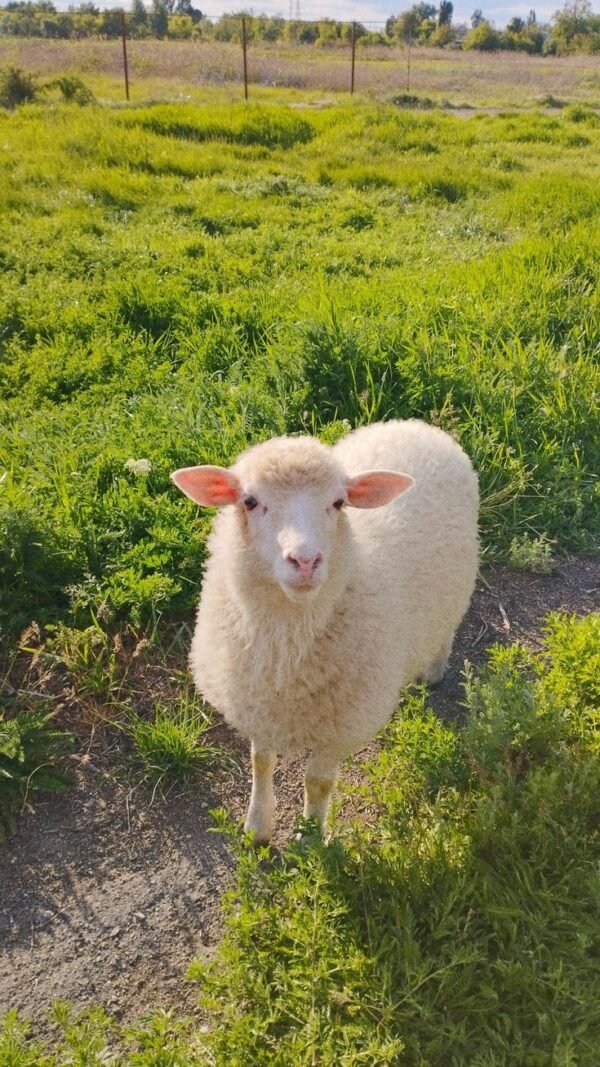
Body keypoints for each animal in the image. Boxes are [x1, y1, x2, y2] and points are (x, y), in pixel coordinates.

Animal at [172, 419, 479, 843]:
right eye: (249, 501)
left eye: (337, 503)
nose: (305, 561)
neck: (287, 646)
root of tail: (418, 426)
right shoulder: (259, 703)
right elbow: (260, 761)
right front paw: (257, 827)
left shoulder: (340, 726)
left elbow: (317, 784)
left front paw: (310, 840)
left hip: (455, 586)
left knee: (446, 624)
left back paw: (432, 672)